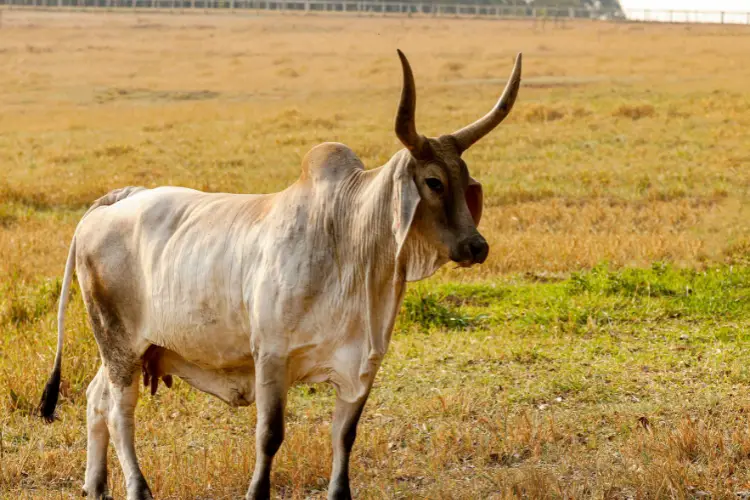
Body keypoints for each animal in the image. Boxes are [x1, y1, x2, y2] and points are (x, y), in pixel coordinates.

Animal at [38, 49, 524, 500]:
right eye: (433, 182)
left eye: (464, 179)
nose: (476, 246)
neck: (348, 238)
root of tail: (114, 201)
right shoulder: (270, 355)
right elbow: (270, 436)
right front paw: (257, 491)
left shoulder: (362, 367)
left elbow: (344, 436)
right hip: (118, 344)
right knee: (120, 413)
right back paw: (137, 487)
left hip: (128, 350)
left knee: (95, 399)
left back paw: (95, 484)